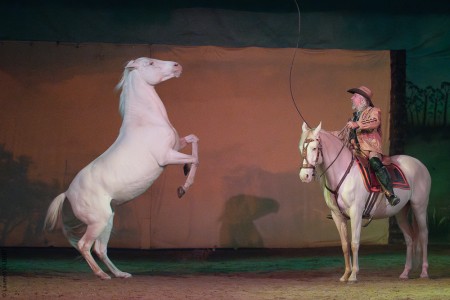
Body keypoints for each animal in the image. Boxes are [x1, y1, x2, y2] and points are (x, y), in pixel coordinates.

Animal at [44, 57, 200, 280]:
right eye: (150, 63)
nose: (177, 66)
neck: (146, 122)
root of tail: (67, 193)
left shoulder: (176, 147)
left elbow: (194, 140)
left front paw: (185, 171)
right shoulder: (167, 156)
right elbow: (196, 159)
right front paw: (183, 188)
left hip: (108, 220)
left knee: (100, 248)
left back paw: (120, 274)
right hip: (98, 221)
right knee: (85, 245)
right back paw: (102, 275)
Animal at [298, 121, 428, 282]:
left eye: (314, 148)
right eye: (300, 148)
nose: (304, 176)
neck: (343, 172)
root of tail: (419, 164)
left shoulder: (356, 213)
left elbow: (354, 243)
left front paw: (353, 275)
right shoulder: (337, 216)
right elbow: (345, 245)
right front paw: (345, 275)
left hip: (419, 208)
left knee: (423, 235)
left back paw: (424, 272)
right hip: (401, 212)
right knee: (410, 239)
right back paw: (405, 273)